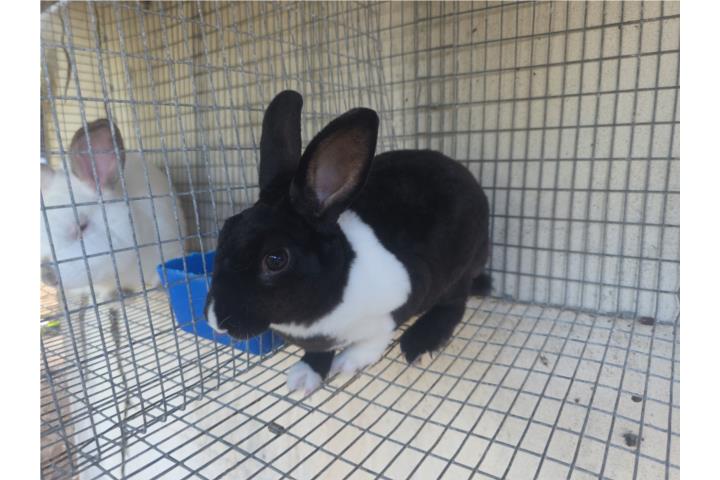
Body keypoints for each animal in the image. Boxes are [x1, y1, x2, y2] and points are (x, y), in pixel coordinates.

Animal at [205, 90, 491, 395]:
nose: (215, 321)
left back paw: (419, 344)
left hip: (460, 267)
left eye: (275, 259)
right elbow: (318, 352)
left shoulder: (401, 300)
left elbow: (374, 341)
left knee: (454, 303)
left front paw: (347, 363)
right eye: (225, 230)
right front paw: (303, 378)